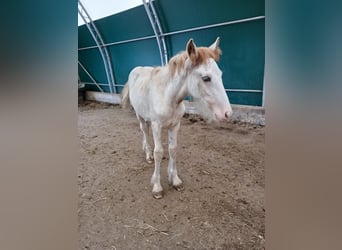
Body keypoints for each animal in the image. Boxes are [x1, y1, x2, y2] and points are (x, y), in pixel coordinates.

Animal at [121, 37, 232, 198]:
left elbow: (173, 149)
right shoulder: (157, 125)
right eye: (206, 78)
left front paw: (175, 180)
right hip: (139, 115)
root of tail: (137, 69)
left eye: (220, 74)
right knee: (144, 131)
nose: (227, 113)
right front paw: (157, 186)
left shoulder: (175, 125)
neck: (167, 96)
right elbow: (159, 152)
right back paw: (148, 155)